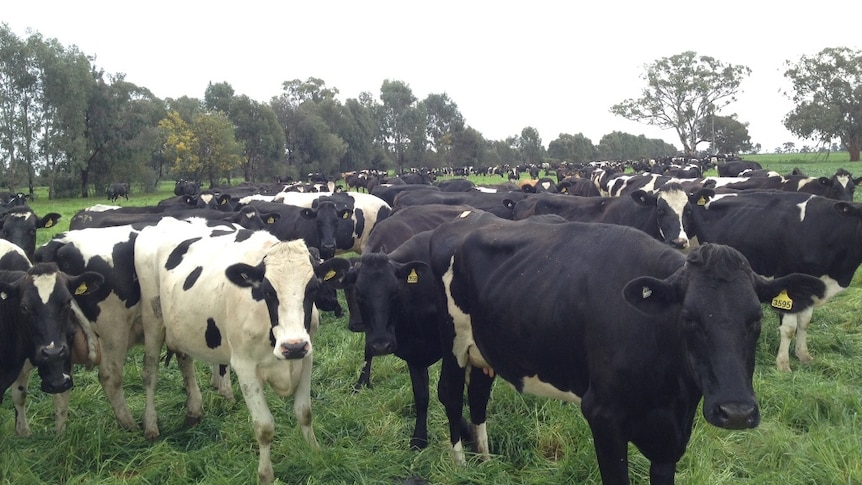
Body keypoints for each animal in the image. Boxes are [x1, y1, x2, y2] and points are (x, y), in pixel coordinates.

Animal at [136, 217, 352, 482]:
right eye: (267, 291)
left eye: (312, 288)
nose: (292, 346)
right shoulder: (245, 367)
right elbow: (264, 427)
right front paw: (265, 475)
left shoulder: (306, 356)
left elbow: (305, 412)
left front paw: (314, 452)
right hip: (152, 321)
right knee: (150, 373)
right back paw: (151, 424)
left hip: (183, 327)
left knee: (185, 361)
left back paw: (194, 411)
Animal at [430, 216, 824, 484]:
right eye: (689, 318)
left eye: (756, 319)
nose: (737, 412)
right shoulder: (602, 415)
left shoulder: (672, 435)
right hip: (452, 345)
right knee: (449, 394)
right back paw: (461, 465)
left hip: (485, 349)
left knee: (479, 394)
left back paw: (486, 459)